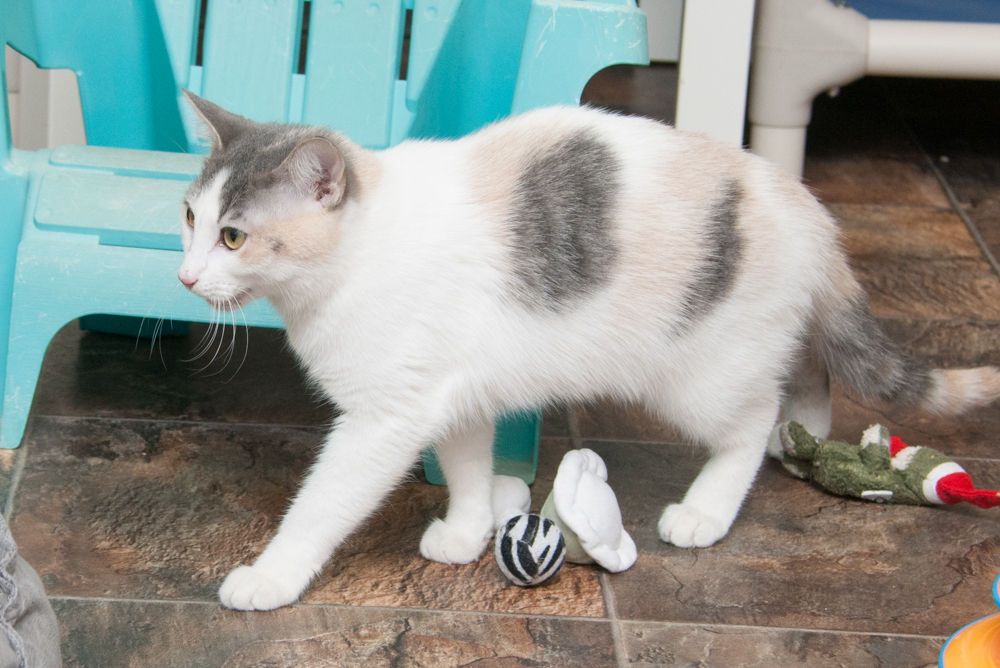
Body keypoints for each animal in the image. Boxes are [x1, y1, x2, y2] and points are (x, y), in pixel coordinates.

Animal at [178, 91, 1000, 612]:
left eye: (234, 237)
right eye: (189, 216)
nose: (184, 274)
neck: (358, 254)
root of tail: (808, 206)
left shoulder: (385, 417)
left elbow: (321, 505)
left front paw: (270, 577)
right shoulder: (449, 391)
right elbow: (468, 466)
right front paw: (468, 530)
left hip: (703, 372)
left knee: (751, 418)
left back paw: (708, 509)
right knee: (808, 371)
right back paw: (803, 440)